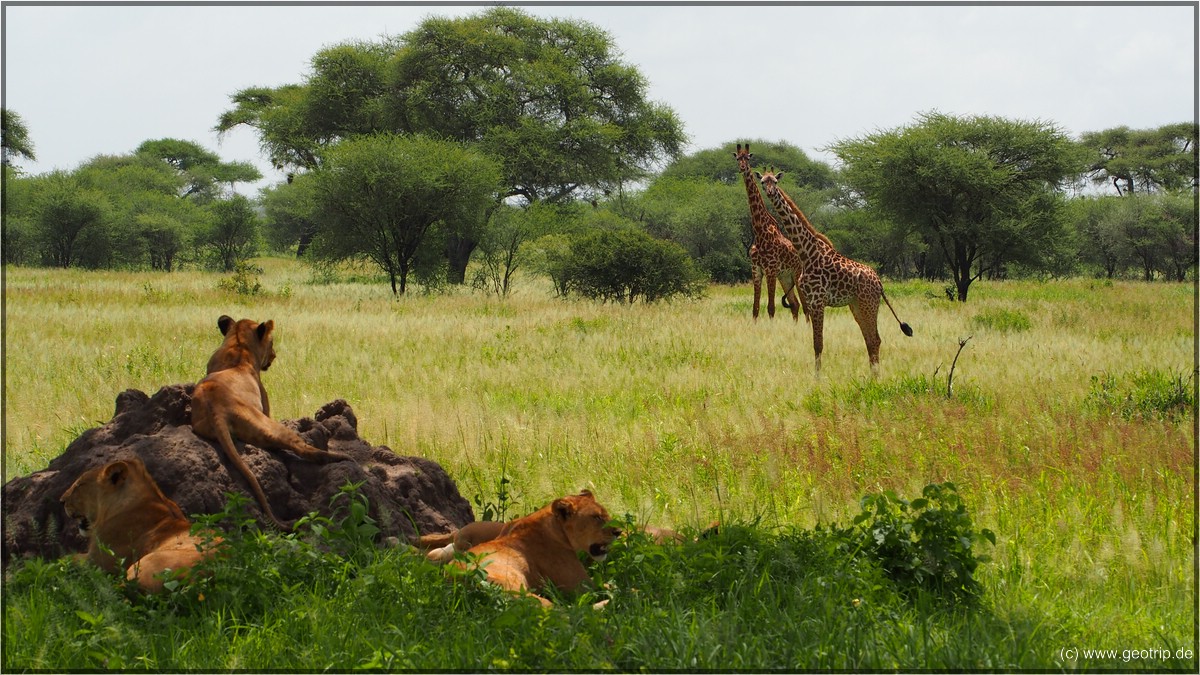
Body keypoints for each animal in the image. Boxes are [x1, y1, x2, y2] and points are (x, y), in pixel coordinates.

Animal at [189, 312, 350, 528]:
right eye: (272, 342)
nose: (274, 355)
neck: (238, 345)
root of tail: (215, 408)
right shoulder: (266, 407)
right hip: (266, 425)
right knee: (303, 449)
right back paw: (341, 458)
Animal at [448, 487, 619, 605]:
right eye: (596, 517)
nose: (619, 531)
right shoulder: (580, 585)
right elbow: (611, 585)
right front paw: (622, 590)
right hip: (517, 591)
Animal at [729, 142, 806, 319]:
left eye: (748, 157)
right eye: (737, 158)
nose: (742, 168)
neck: (760, 231)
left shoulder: (771, 269)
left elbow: (771, 308)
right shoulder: (756, 270)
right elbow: (755, 308)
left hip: (796, 274)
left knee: (805, 307)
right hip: (785, 277)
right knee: (795, 304)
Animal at [753, 165, 912, 374]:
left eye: (776, 181)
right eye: (763, 181)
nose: (770, 192)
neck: (806, 252)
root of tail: (879, 283)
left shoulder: (818, 301)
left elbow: (818, 344)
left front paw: (817, 378)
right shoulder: (811, 302)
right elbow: (815, 343)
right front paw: (816, 375)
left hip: (868, 303)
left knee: (875, 339)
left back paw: (875, 376)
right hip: (856, 305)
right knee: (870, 340)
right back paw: (873, 376)